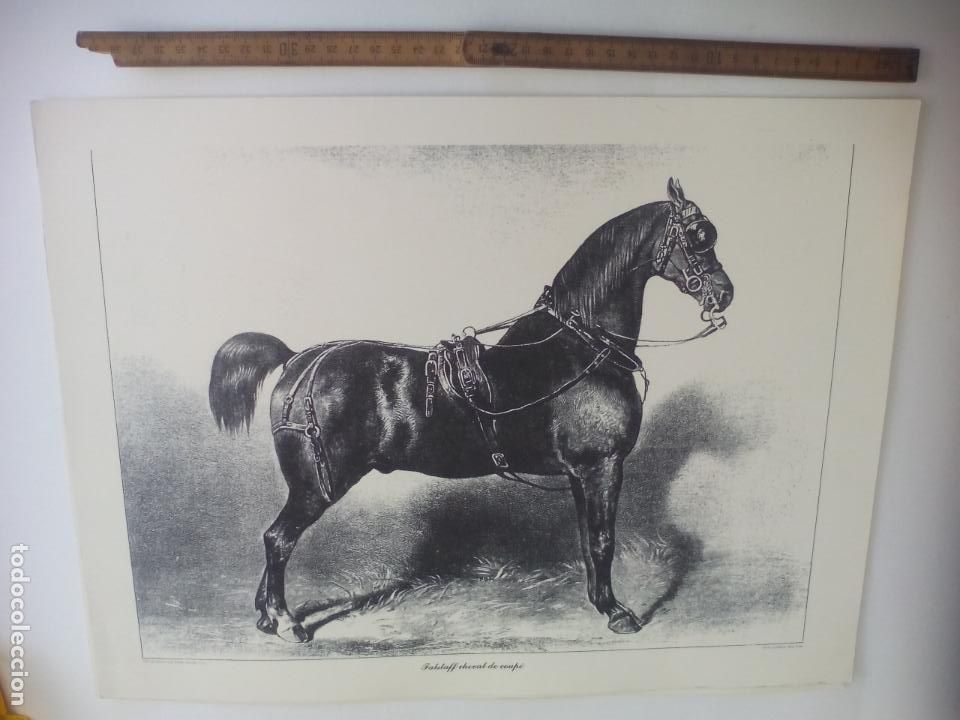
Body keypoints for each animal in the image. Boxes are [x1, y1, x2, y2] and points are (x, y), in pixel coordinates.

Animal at [209, 178, 733, 643]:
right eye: (697, 236)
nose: (725, 293)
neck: (579, 347)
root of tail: (299, 359)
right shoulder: (601, 467)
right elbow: (603, 541)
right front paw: (617, 613)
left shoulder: (581, 474)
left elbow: (589, 541)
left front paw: (599, 602)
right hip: (317, 486)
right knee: (279, 539)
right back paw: (286, 621)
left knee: (275, 540)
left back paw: (265, 616)